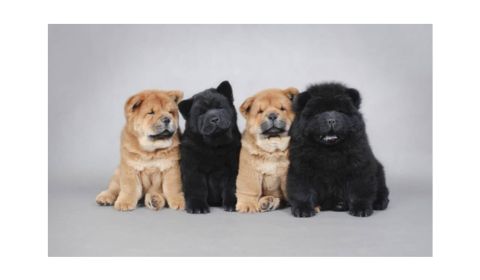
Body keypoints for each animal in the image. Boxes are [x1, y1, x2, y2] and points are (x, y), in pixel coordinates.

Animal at [178, 82, 242, 213]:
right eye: (201, 113)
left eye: (219, 107)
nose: (214, 119)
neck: (214, 147)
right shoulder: (192, 167)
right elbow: (196, 188)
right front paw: (197, 207)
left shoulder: (233, 167)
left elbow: (231, 187)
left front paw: (233, 204)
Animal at [286, 82, 388, 218]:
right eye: (319, 112)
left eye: (339, 111)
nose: (331, 120)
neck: (330, 151)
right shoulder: (301, 168)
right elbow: (302, 190)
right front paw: (303, 210)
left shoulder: (359, 167)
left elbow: (360, 189)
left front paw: (361, 209)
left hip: (378, 170)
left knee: (382, 190)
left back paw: (379, 203)